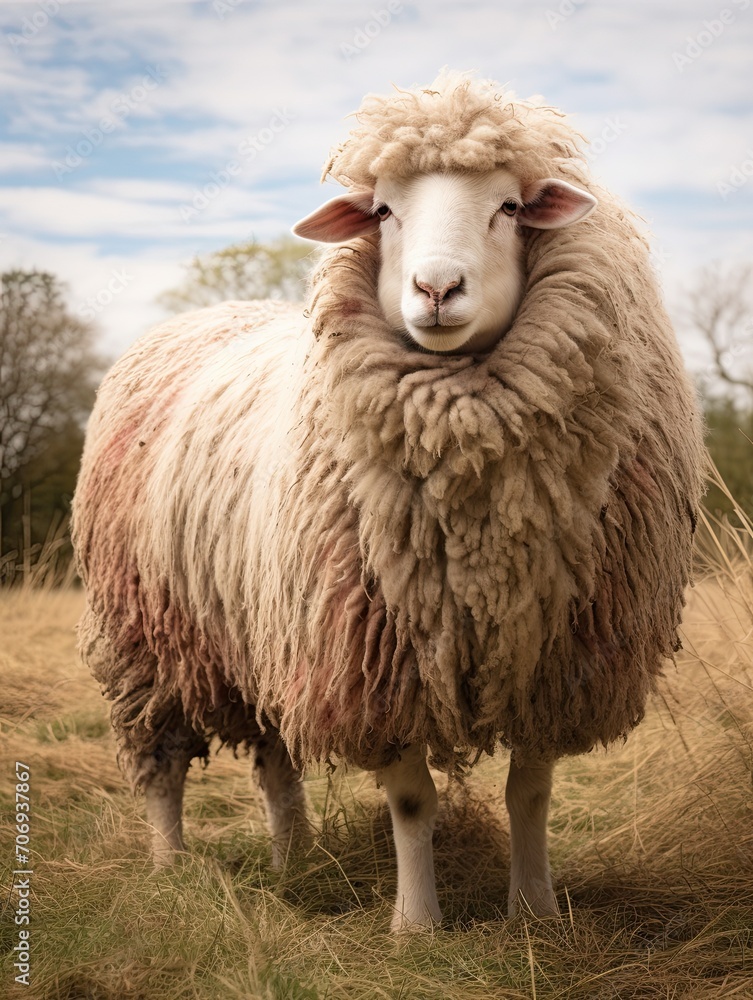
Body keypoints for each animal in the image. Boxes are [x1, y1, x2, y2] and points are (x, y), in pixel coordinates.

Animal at [70, 74, 704, 932]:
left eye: (509, 206)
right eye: (382, 211)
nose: (435, 288)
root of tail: (208, 314)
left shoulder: (550, 655)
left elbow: (529, 794)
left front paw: (533, 913)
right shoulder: (374, 658)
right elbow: (411, 803)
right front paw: (416, 925)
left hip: (264, 628)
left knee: (274, 758)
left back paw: (295, 859)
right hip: (145, 631)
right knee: (161, 757)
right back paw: (170, 866)